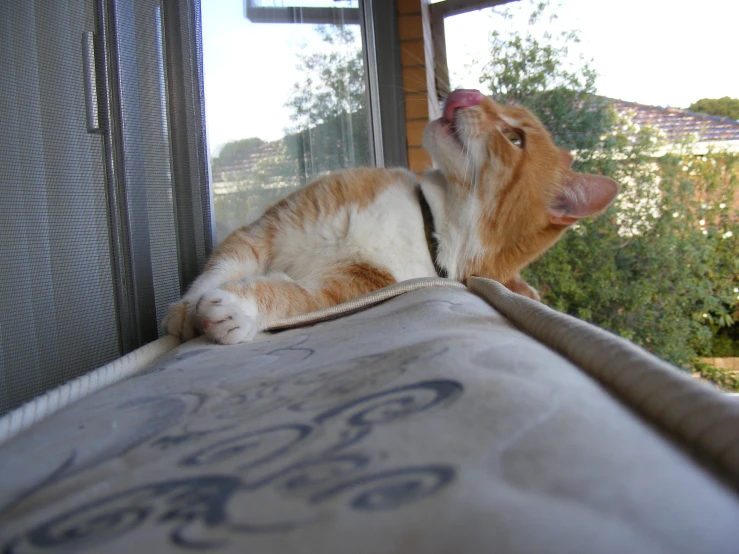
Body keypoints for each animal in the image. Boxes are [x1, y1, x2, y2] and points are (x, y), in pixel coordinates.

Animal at [162, 88, 620, 342]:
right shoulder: (268, 228)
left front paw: (236, 309)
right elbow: (221, 266)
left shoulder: (350, 288)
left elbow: (294, 298)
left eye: (515, 137)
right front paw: (185, 310)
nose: (467, 92)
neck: (427, 221)